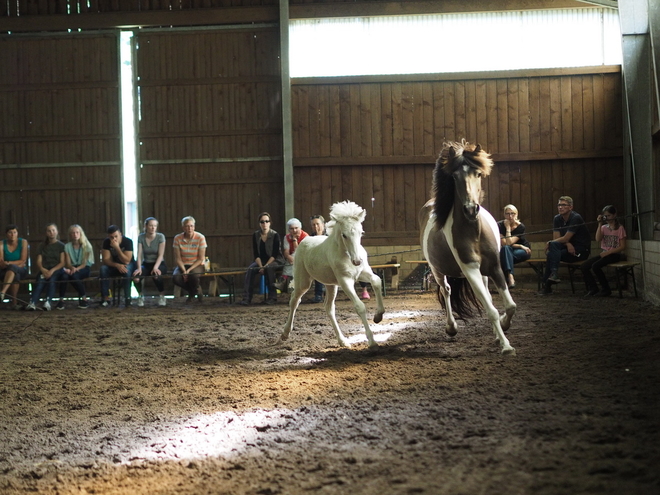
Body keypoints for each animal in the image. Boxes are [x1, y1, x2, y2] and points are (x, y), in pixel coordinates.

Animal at [280, 202, 384, 348]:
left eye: (361, 232)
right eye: (344, 235)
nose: (357, 261)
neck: (346, 254)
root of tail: (304, 241)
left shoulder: (362, 273)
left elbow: (376, 281)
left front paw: (378, 316)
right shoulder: (345, 281)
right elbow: (360, 306)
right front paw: (372, 341)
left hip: (330, 285)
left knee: (329, 308)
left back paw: (343, 341)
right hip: (303, 281)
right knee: (295, 300)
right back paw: (285, 333)